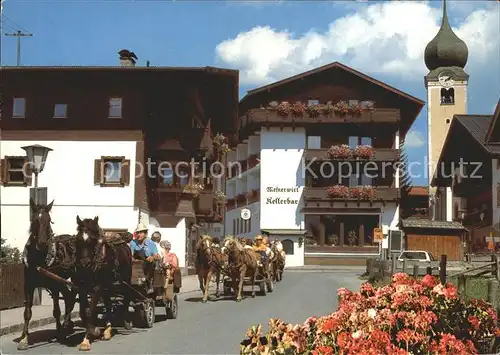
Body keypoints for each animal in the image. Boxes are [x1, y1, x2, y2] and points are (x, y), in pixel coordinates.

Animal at [17, 199, 77, 352]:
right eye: (35, 220)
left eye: (49, 220)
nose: (43, 244)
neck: (38, 259)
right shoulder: (28, 286)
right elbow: (27, 312)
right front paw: (24, 338)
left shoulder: (54, 285)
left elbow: (56, 311)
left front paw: (59, 332)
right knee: (68, 297)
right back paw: (68, 324)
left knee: (71, 298)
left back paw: (66, 325)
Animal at [73, 216, 133, 352]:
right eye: (78, 239)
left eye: (92, 240)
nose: (84, 263)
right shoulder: (82, 288)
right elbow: (84, 311)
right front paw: (94, 330)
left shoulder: (97, 287)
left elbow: (90, 311)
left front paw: (87, 340)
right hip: (108, 285)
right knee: (108, 303)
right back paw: (107, 330)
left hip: (125, 279)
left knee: (126, 297)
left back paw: (126, 321)